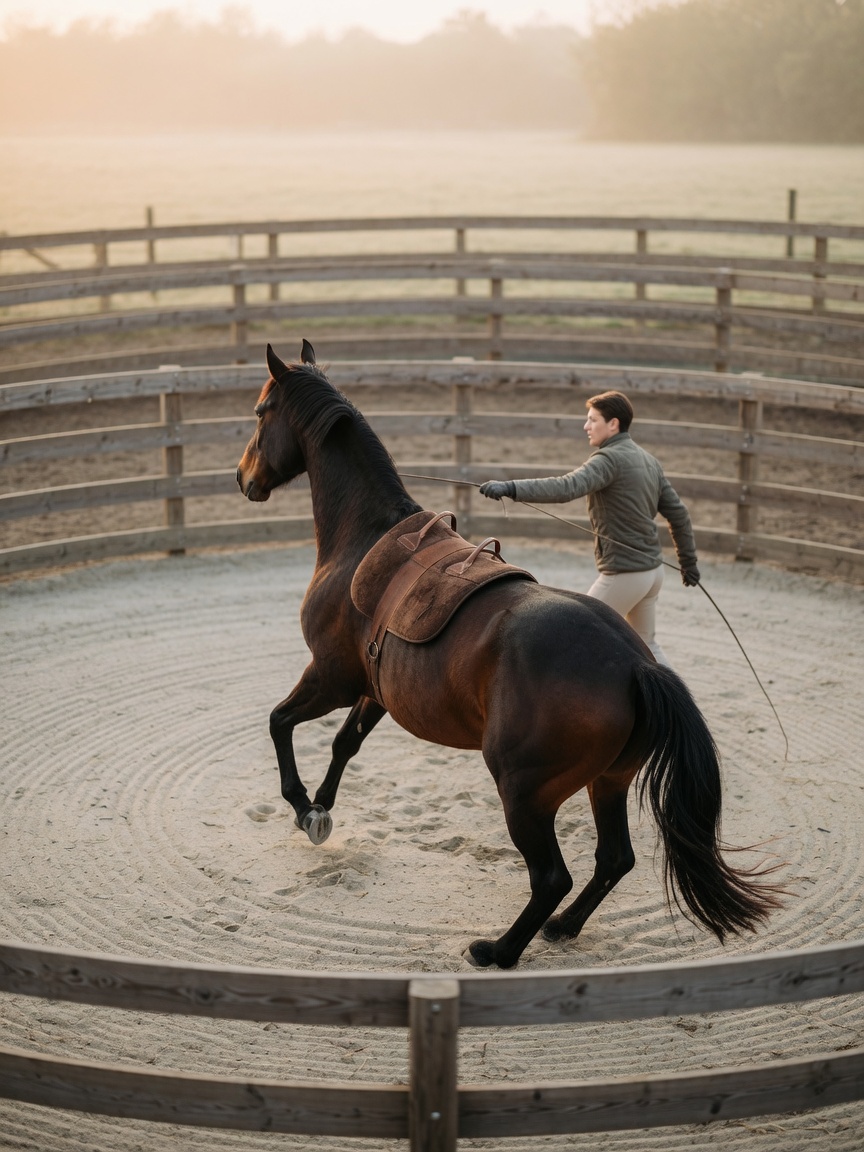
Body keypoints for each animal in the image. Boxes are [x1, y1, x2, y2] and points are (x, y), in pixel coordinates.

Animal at [236, 341, 780, 969]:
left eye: (260, 412)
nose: (241, 477)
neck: (364, 537)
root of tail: (637, 665)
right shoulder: (375, 691)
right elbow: (344, 743)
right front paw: (322, 810)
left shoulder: (331, 678)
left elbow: (279, 722)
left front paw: (303, 806)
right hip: (608, 781)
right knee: (613, 859)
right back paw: (563, 928)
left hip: (523, 793)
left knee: (551, 877)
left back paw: (498, 949)